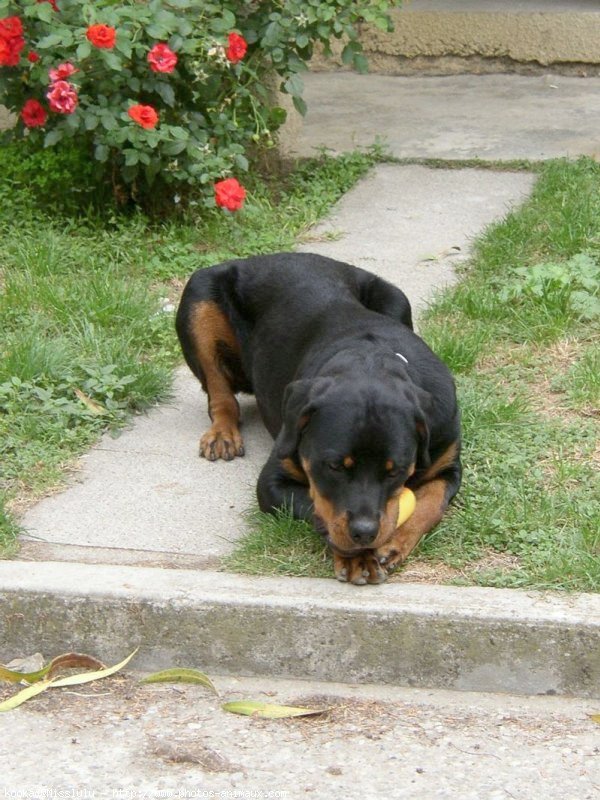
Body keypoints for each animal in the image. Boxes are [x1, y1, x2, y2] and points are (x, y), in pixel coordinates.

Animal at [176, 253, 462, 584]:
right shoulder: (274, 480)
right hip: (198, 297)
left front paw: (394, 543)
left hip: (396, 297)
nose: (364, 533)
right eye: (334, 466)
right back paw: (222, 433)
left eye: (396, 471)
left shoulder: (447, 459)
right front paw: (355, 557)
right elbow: (317, 508)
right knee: (219, 391)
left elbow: (431, 502)